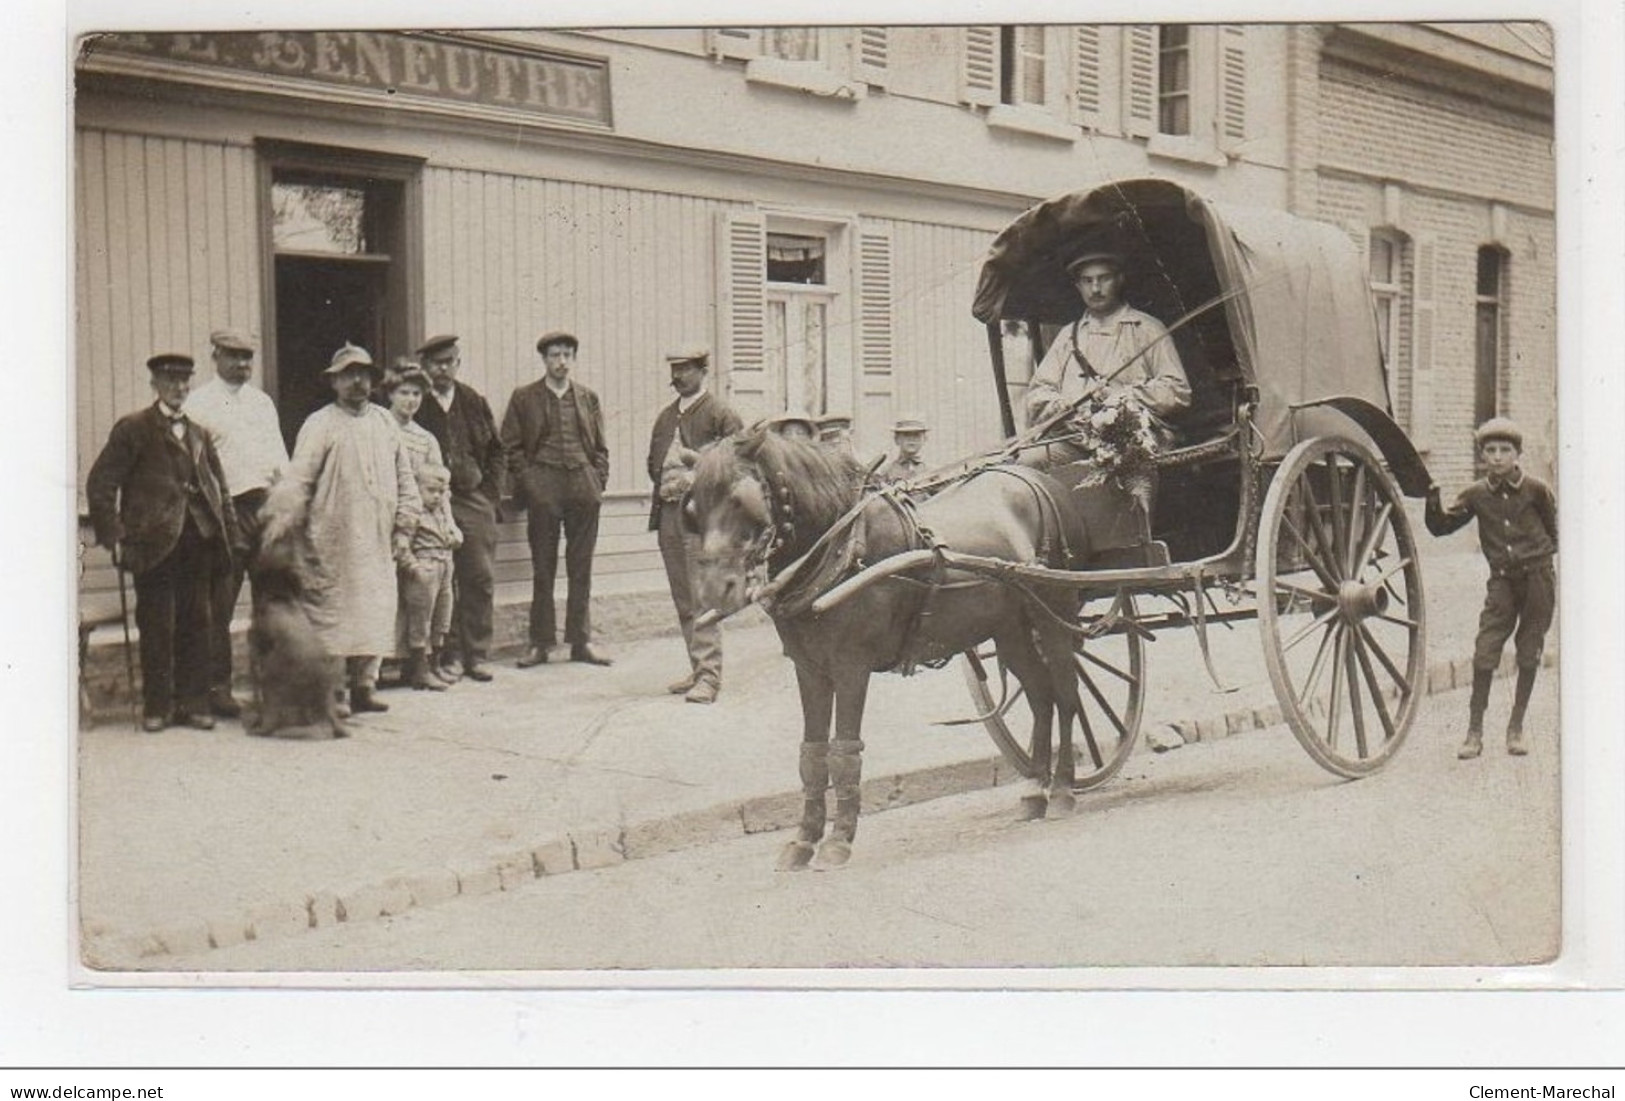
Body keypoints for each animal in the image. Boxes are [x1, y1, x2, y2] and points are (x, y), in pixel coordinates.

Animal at [682, 431, 1092, 870]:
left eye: (741, 499)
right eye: (693, 508)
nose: (714, 589)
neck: (842, 547)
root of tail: (1043, 481)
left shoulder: (851, 666)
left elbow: (844, 751)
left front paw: (838, 840)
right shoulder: (809, 669)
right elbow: (812, 755)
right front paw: (804, 840)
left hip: (1053, 615)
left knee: (1066, 696)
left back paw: (1063, 789)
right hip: (1009, 631)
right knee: (1040, 697)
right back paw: (1034, 788)